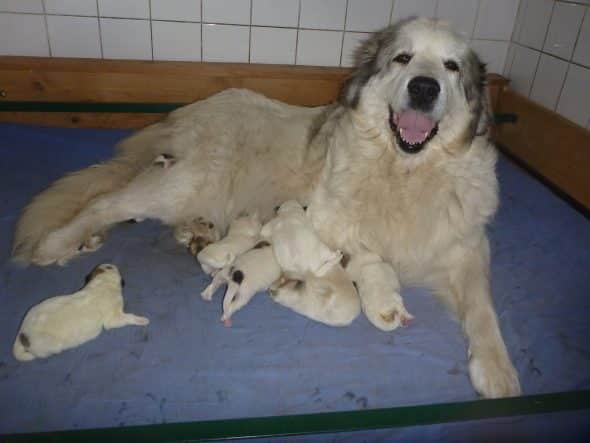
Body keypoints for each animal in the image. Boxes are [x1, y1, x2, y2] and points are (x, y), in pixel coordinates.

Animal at [13, 264, 149, 360]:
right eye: (110, 266)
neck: (102, 283)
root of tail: (21, 334)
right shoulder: (113, 318)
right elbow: (128, 317)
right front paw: (141, 320)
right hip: (50, 346)